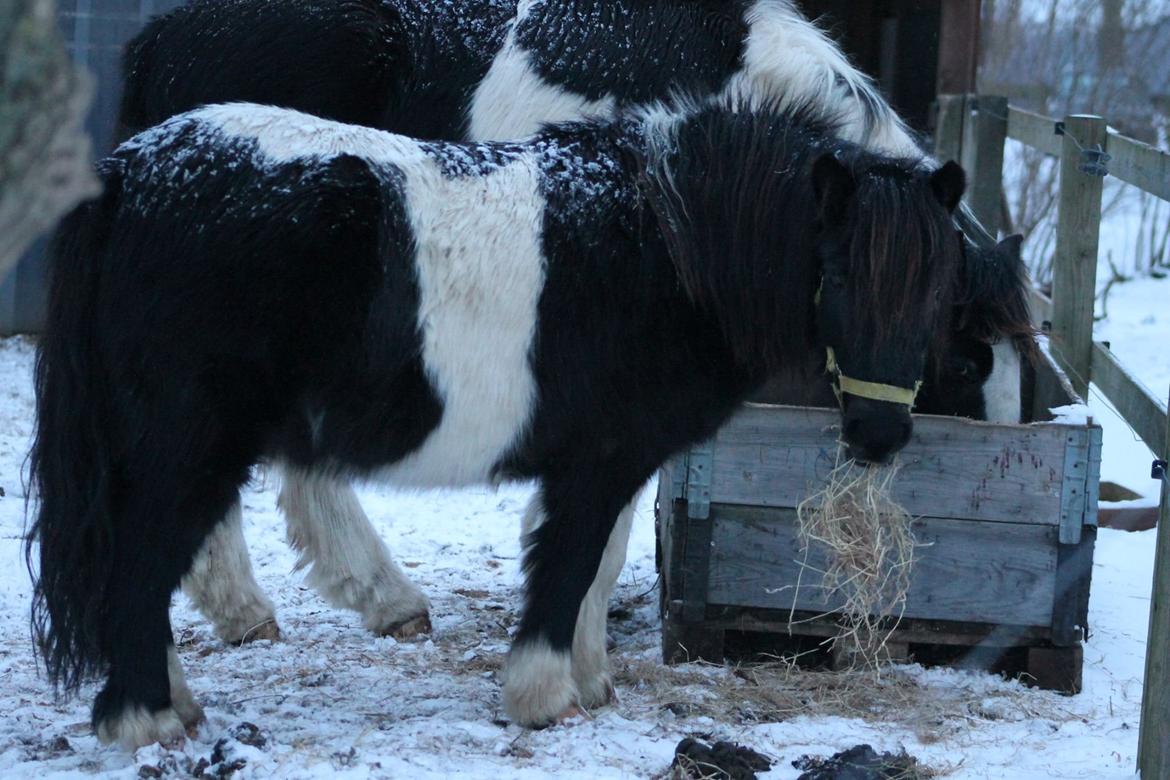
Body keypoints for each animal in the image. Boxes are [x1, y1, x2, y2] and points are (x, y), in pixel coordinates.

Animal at [29, 99, 978, 748]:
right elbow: (567, 570)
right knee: (141, 568)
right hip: (189, 449)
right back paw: (146, 720)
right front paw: (543, 696)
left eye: (937, 290)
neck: (665, 245)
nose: (879, 438)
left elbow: (597, 568)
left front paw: (590, 684)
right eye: (839, 275)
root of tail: (128, 175)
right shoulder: (595, 464)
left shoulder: (611, 464)